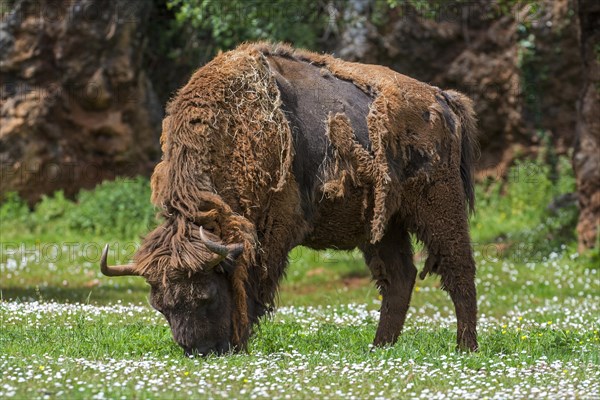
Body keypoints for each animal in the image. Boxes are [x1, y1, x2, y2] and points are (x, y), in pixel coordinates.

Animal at [101, 42, 480, 356]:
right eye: (160, 305)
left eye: (206, 294)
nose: (198, 351)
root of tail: (442, 99)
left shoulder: (274, 230)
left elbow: (255, 282)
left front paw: (242, 340)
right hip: (382, 225)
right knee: (399, 278)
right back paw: (378, 348)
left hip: (439, 205)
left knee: (458, 268)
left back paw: (465, 347)